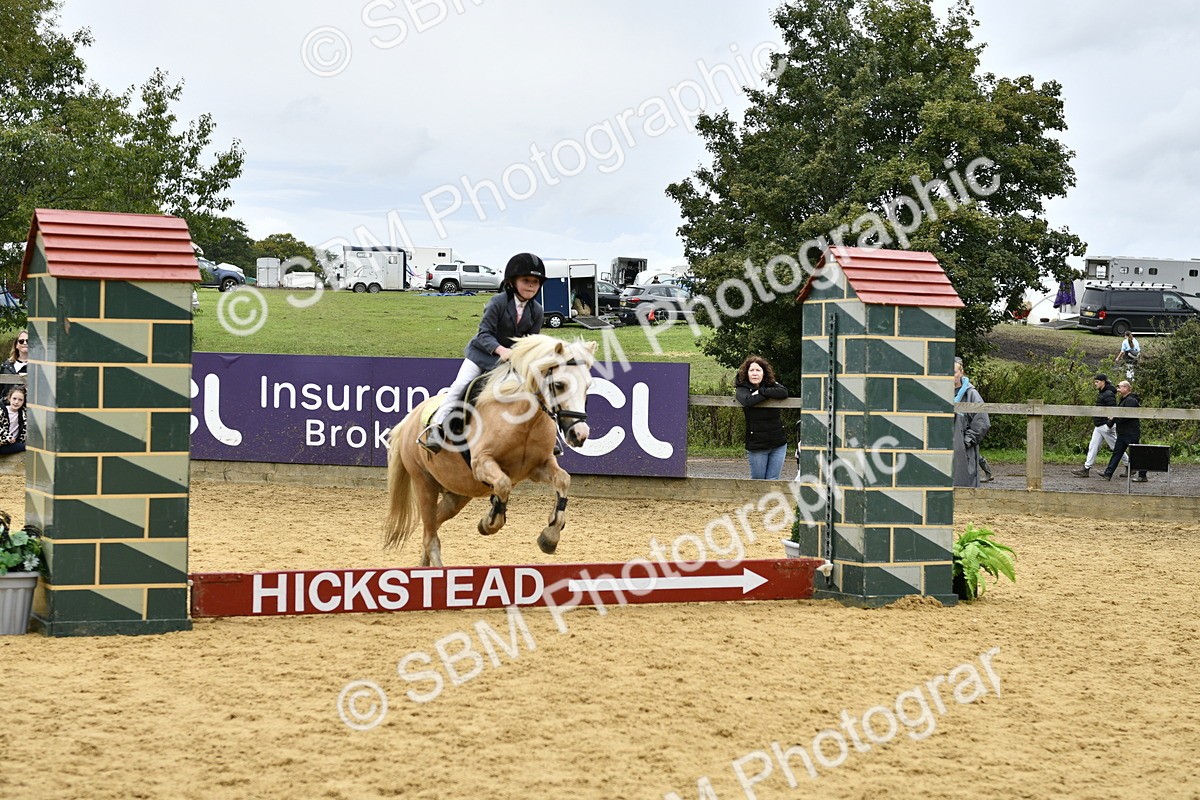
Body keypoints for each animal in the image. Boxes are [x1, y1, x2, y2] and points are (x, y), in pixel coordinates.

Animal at [384, 335, 598, 567]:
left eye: (588, 386)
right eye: (559, 385)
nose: (579, 434)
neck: (524, 420)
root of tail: (408, 420)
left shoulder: (539, 466)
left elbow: (563, 480)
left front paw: (550, 536)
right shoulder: (481, 464)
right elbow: (503, 484)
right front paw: (490, 522)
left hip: (457, 494)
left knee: (430, 527)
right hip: (424, 484)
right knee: (431, 538)